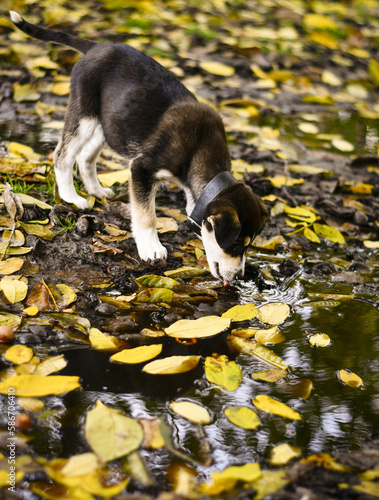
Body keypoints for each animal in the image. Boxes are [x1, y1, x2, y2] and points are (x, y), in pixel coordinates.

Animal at [11, 11, 268, 284]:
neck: (199, 153)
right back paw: (73, 197)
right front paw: (151, 249)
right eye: (235, 245)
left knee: (86, 157)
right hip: (84, 115)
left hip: (110, 124)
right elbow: (147, 216)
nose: (239, 277)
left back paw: (97, 191)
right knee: (63, 155)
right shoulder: (142, 169)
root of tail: (96, 47)